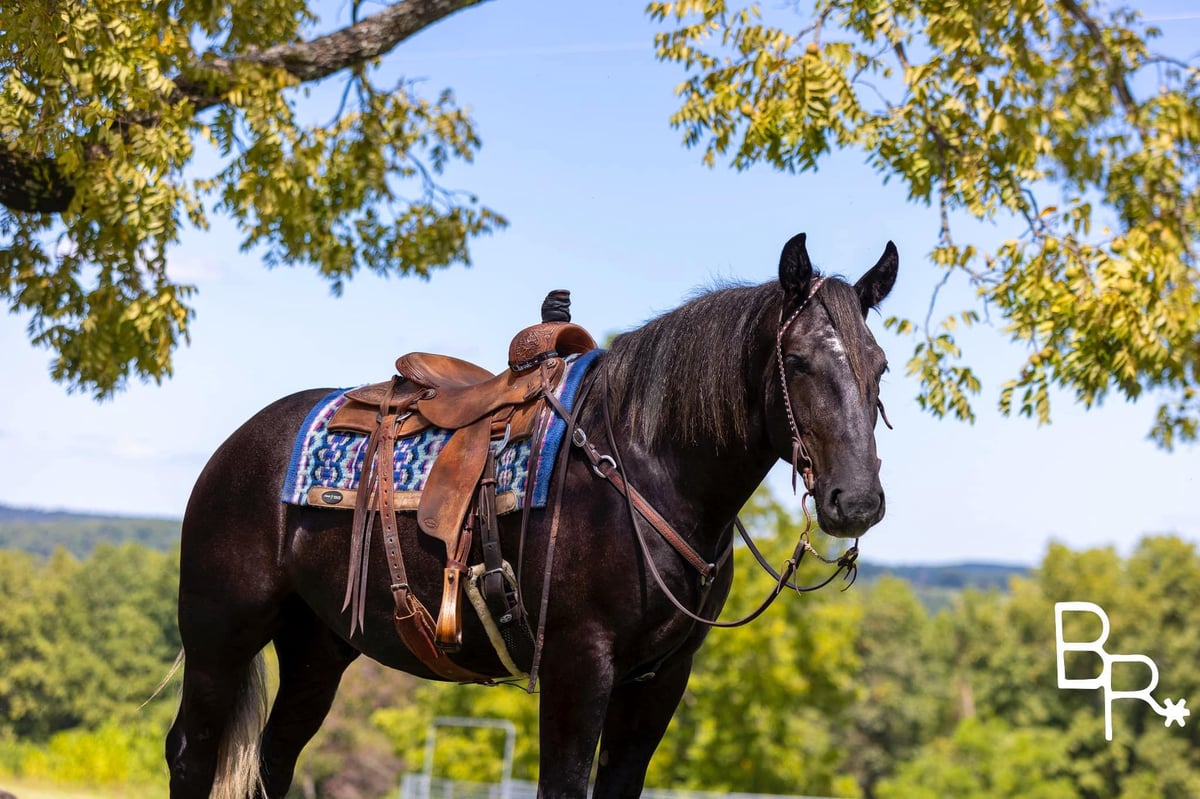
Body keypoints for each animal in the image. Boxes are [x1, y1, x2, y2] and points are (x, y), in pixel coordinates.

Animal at [166, 232, 898, 798]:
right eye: (797, 361)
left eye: (881, 366)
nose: (857, 500)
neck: (643, 470)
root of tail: (240, 443)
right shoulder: (579, 664)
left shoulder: (660, 680)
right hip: (219, 635)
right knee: (190, 752)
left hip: (318, 648)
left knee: (273, 759)